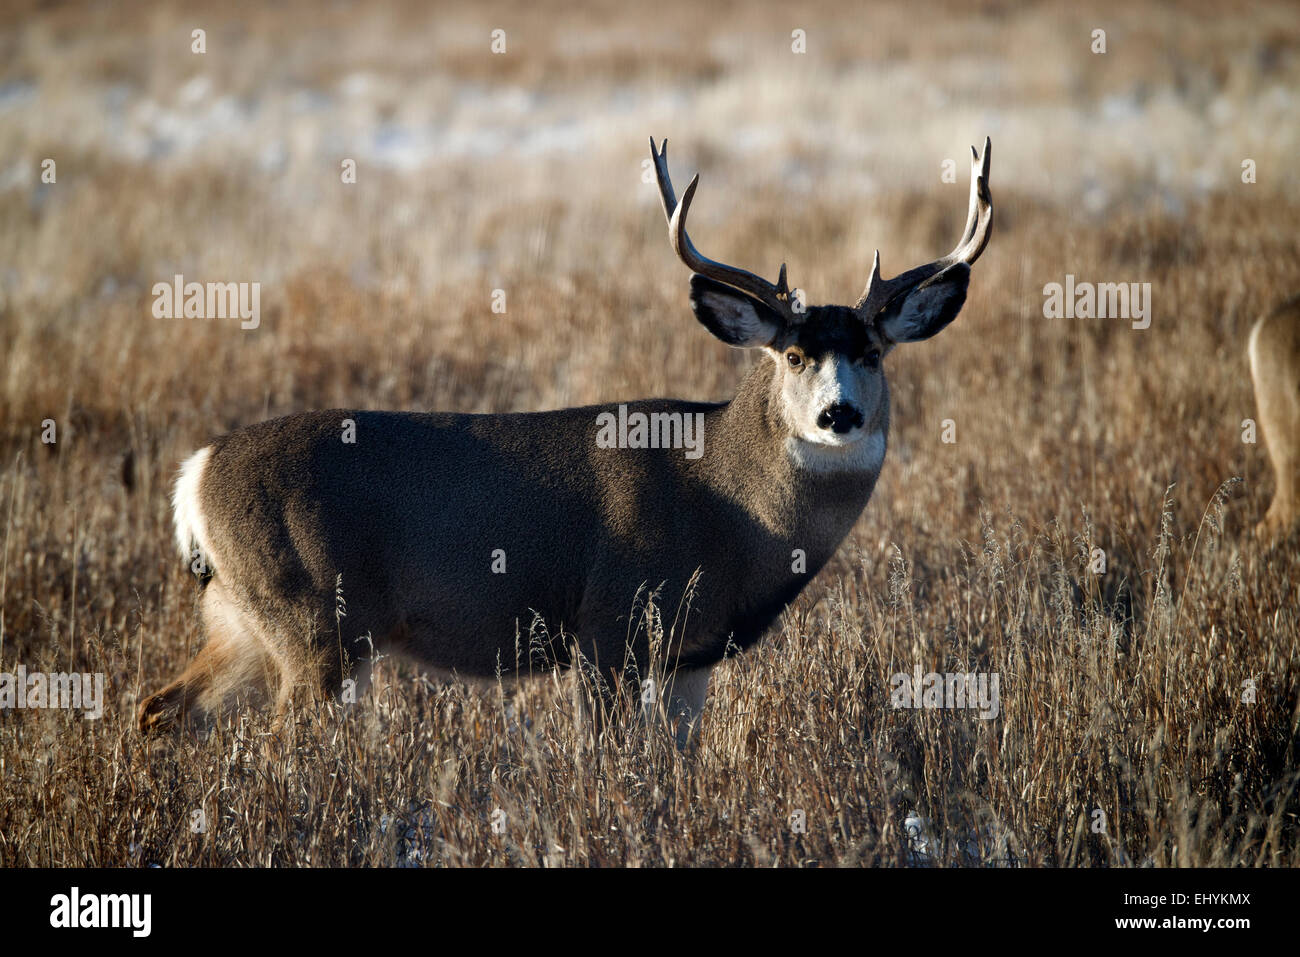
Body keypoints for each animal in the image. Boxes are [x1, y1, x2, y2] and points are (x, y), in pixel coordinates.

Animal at [139, 134, 993, 748]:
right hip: (315, 616)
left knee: (161, 706)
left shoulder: (690, 656)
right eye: (791, 354)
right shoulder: (608, 623)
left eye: (873, 352)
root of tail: (195, 474)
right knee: (284, 741)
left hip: (241, 617)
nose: (839, 415)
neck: (728, 505)